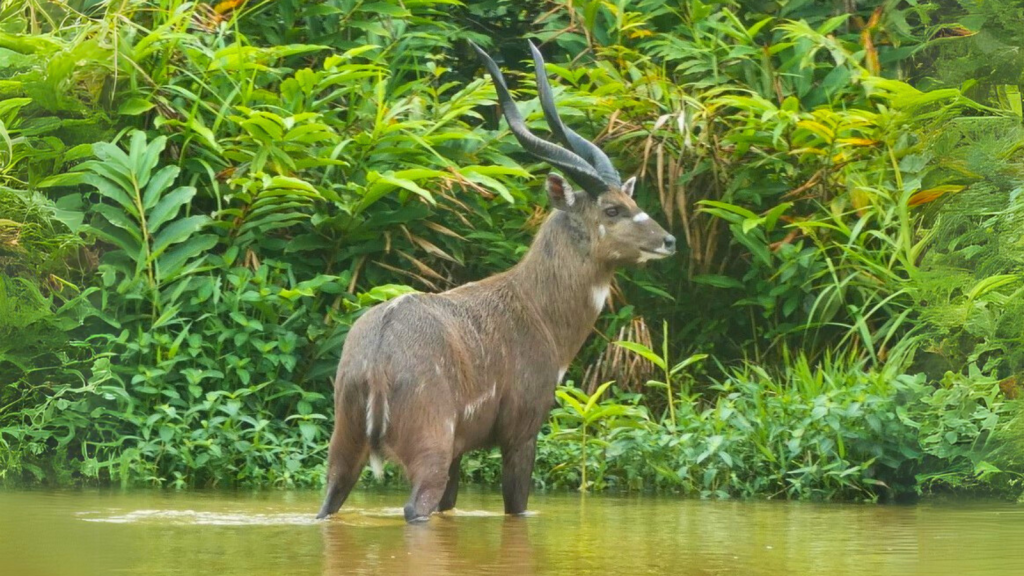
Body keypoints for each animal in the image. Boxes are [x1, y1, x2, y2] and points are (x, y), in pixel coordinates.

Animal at [315, 42, 675, 522]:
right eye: (612, 209)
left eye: (630, 201)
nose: (668, 241)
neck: (535, 309)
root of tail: (375, 361)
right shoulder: (521, 430)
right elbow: (516, 506)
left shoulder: (460, 451)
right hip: (428, 446)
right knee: (414, 508)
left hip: (345, 449)